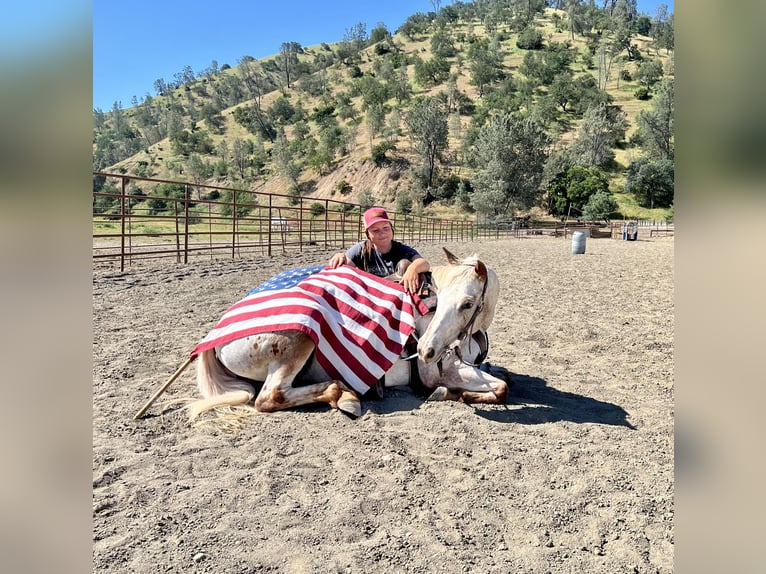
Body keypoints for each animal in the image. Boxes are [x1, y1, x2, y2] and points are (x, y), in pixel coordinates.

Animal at [186, 250, 510, 420]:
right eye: (439, 298)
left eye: (467, 303)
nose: (427, 351)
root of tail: (214, 339)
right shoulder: (445, 372)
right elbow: (502, 388)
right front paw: (449, 393)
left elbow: (501, 381)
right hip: (298, 340)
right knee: (268, 397)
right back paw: (342, 394)